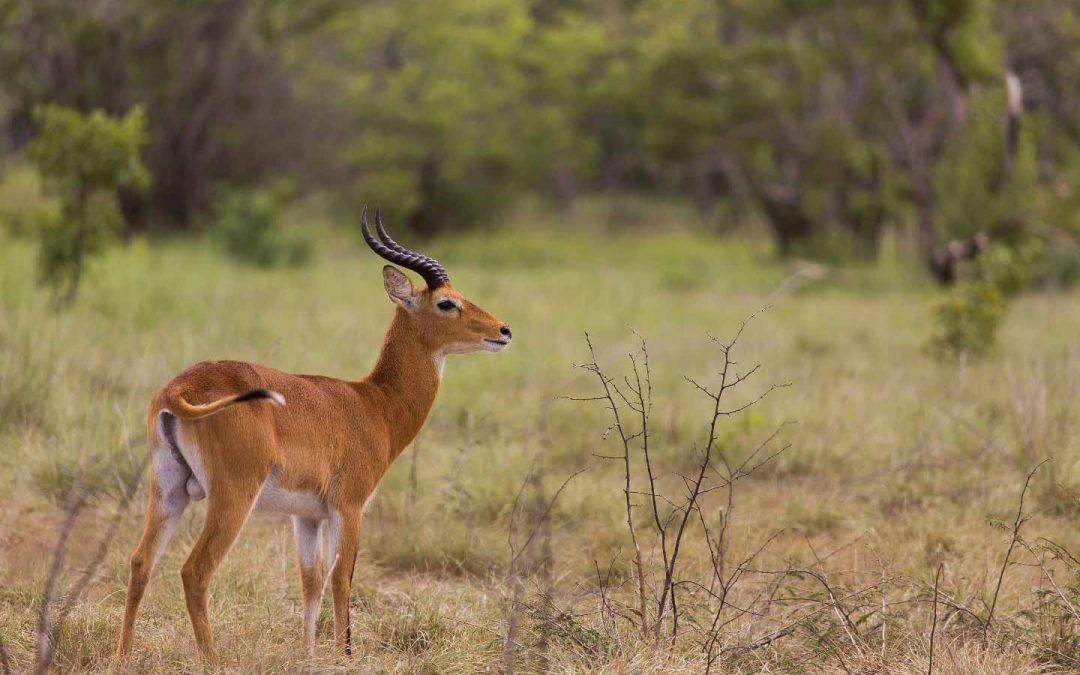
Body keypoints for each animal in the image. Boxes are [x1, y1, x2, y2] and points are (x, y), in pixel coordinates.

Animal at [116, 209, 511, 656]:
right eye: (447, 302)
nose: (503, 330)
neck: (373, 403)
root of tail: (179, 389)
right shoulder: (349, 507)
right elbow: (341, 578)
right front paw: (344, 653)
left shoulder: (306, 516)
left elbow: (311, 581)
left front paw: (308, 653)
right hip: (233, 496)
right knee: (194, 571)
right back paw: (213, 659)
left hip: (169, 490)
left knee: (141, 561)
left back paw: (123, 656)